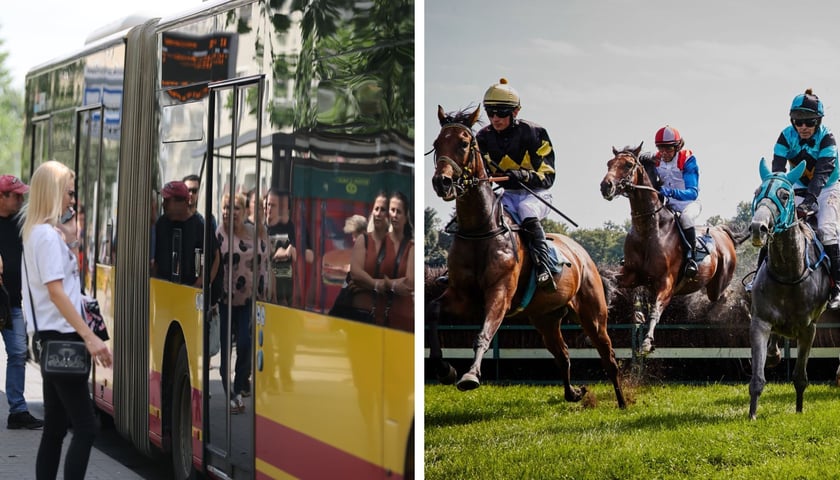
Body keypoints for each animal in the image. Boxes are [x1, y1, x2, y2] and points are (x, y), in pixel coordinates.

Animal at [434, 106, 624, 408]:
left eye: (464, 143)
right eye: (436, 144)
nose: (442, 182)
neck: (480, 230)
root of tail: (583, 254)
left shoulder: (499, 293)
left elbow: (484, 333)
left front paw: (470, 376)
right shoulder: (461, 296)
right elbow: (432, 314)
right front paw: (445, 370)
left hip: (593, 315)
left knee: (609, 357)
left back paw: (622, 402)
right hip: (545, 318)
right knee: (563, 354)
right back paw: (573, 393)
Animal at [596, 141, 748, 354]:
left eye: (628, 165)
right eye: (609, 163)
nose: (605, 186)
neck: (649, 230)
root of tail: (723, 232)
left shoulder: (666, 282)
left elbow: (656, 309)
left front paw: (646, 342)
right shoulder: (632, 274)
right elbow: (610, 279)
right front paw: (608, 300)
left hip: (719, 282)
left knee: (725, 294)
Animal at [748, 158, 828, 420]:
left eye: (784, 195)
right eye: (757, 192)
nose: (758, 227)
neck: (788, 274)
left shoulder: (808, 329)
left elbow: (800, 377)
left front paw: (800, 409)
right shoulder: (760, 322)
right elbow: (757, 377)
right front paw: (752, 415)